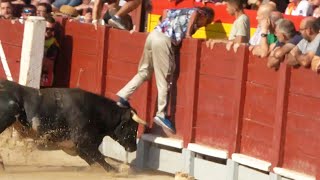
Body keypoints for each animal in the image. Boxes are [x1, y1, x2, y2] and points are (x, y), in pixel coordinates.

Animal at [0, 80, 147, 172]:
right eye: (133, 127)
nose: (134, 148)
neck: (95, 112)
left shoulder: (78, 148)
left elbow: (96, 161)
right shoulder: (84, 143)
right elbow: (101, 159)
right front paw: (117, 171)